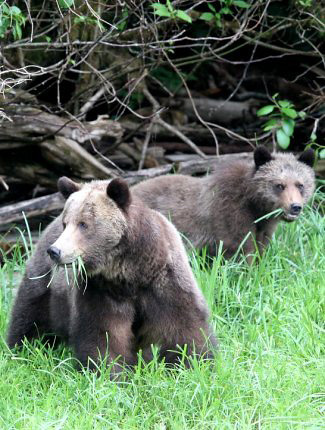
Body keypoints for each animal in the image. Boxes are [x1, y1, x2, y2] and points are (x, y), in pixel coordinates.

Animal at [6, 176, 214, 378]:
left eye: (83, 224)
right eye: (67, 223)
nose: (55, 251)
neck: (129, 272)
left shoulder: (163, 278)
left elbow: (183, 324)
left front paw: (194, 363)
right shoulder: (99, 288)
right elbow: (103, 333)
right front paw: (109, 372)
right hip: (46, 284)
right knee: (29, 315)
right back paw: (22, 349)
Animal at [132, 146, 314, 260]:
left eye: (300, 185)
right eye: (279, 185)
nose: (295, 207)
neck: (255, 205)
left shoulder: (265, 224)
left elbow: (260, 247)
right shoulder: (229, 213)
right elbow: (241, 248)